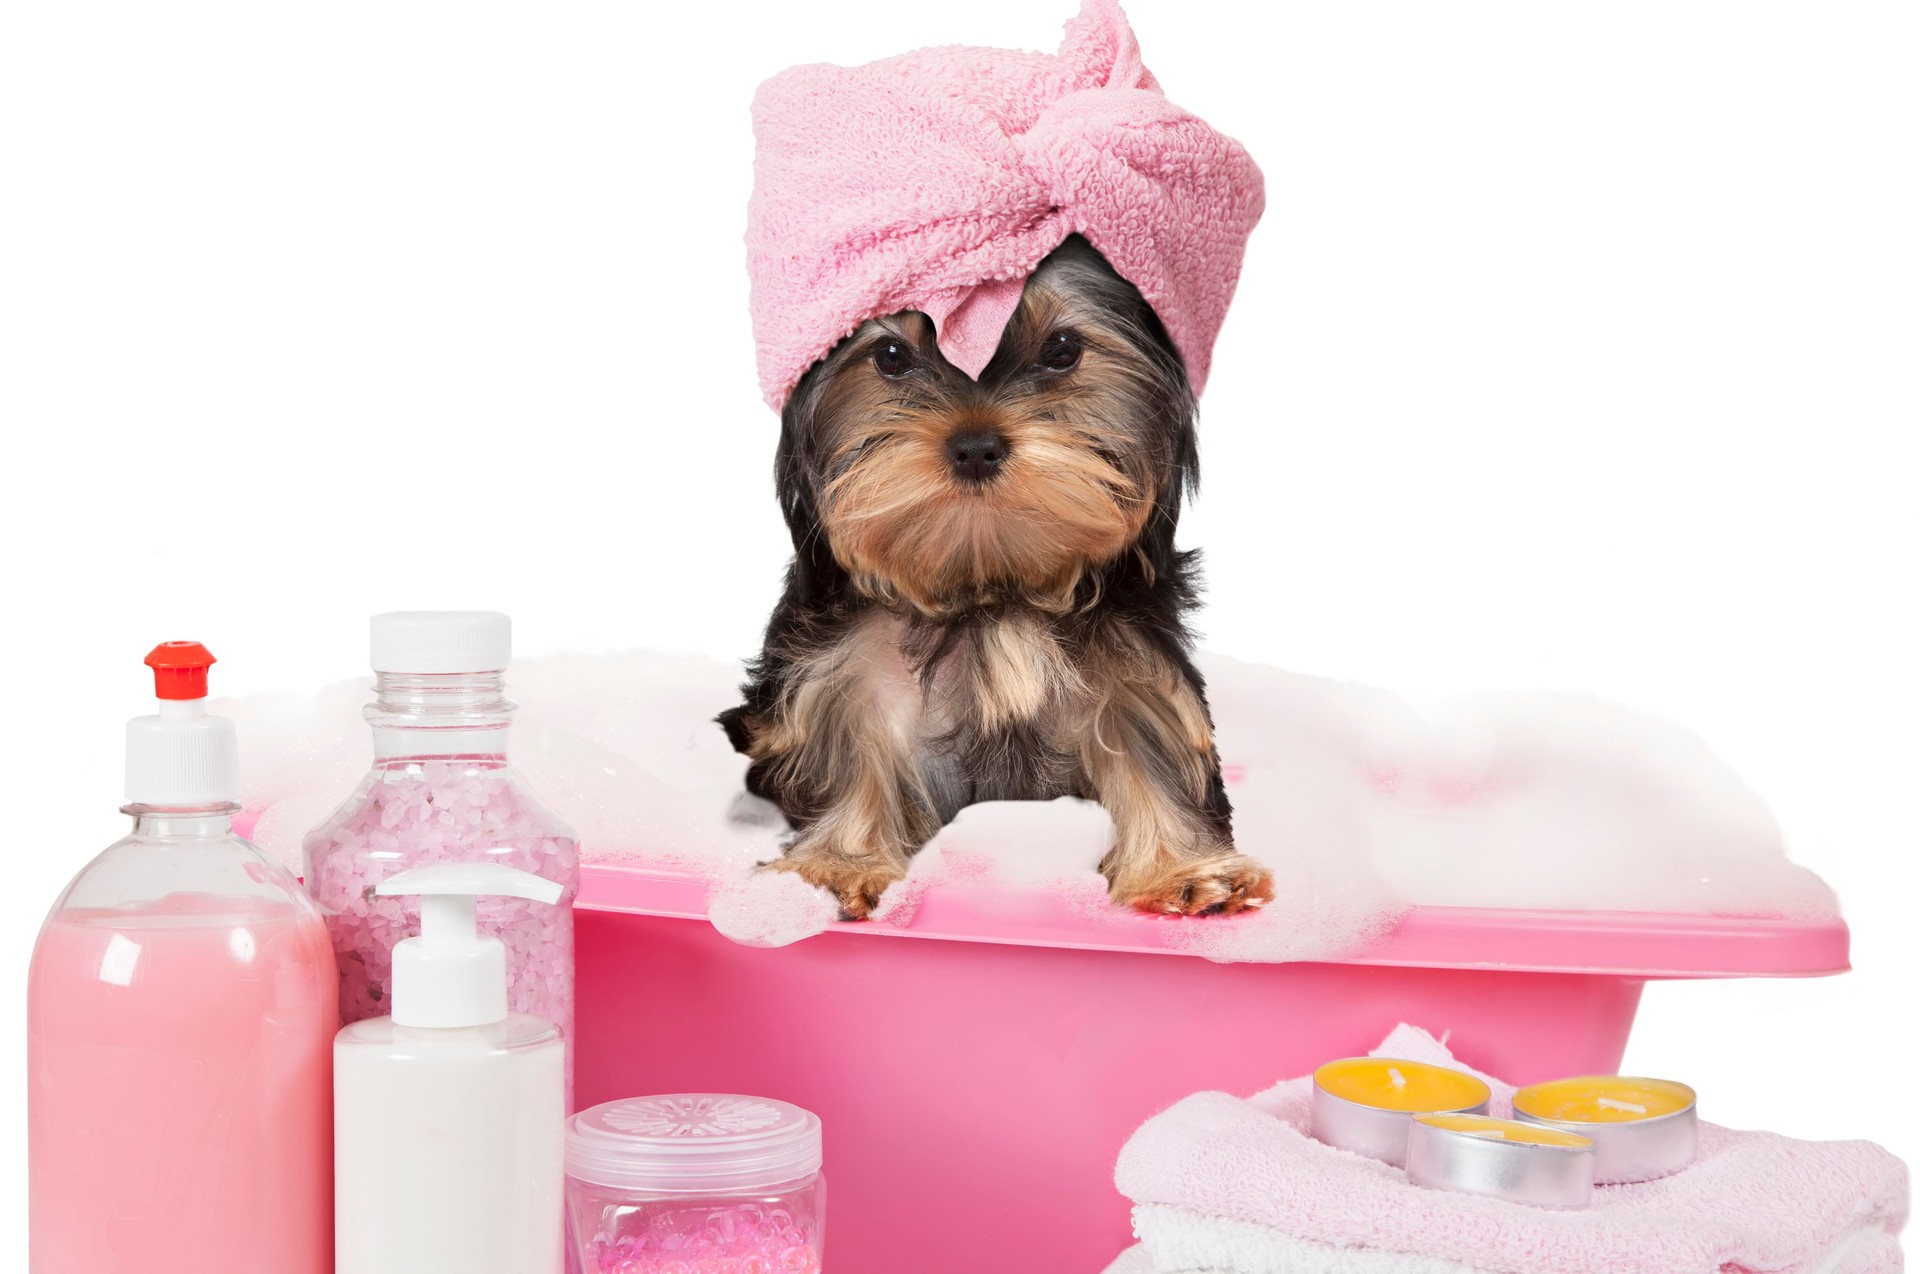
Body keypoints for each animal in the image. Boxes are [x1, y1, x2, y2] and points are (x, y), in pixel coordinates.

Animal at [721, 234, 1274, 920]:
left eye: (1061, 351)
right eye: (892, 356)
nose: (976, 445)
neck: (988, 585)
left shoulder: (1130, 660)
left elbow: (1151, 740)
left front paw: (1184, 868)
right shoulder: (840, 669)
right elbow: (847, 750)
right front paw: (835, 865)